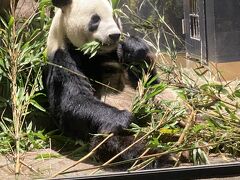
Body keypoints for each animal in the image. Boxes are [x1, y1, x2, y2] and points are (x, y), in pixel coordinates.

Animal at [43, 0, 165, 166]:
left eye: (113, 16)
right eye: (96, 19)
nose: (115, 35)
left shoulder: (115, 55)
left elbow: (150, 84)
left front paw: (134, 48)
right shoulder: (64, 59)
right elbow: (72, 102)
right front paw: (126, 117)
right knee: (118, 141)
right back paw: (153, 154)